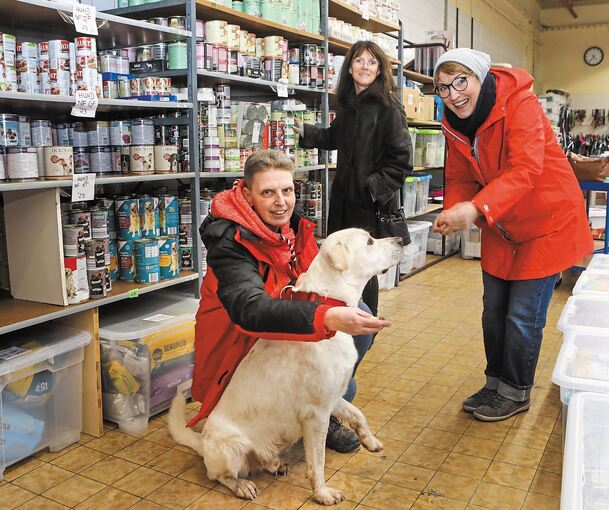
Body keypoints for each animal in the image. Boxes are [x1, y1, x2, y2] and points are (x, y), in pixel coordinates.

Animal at [169, 230, 404, 506]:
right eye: (369, 241)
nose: (401, 240)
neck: (329, 302)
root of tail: (202, 444)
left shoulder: (333, 398)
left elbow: (358, 414)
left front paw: (371, 441)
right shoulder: (316, 414)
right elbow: (318, 462)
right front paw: (322, 494)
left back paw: (273, 463)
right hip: (230, 448)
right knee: (218, 476)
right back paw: (242, 485)